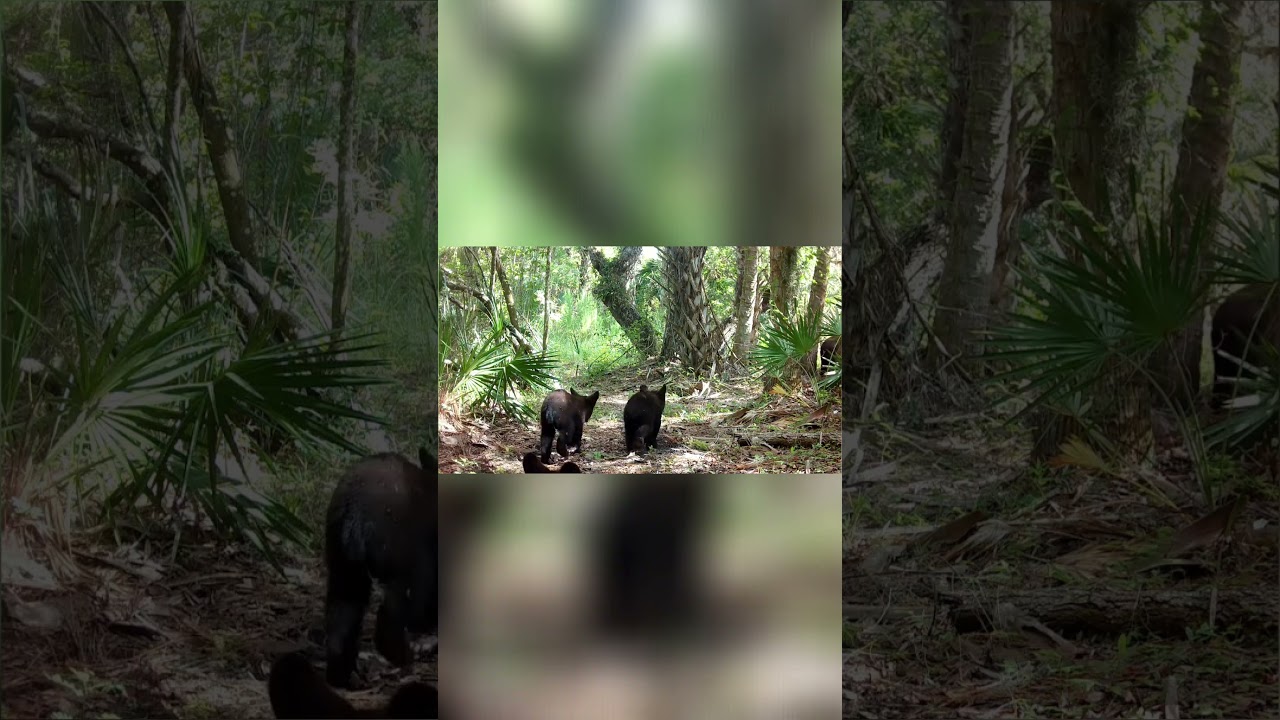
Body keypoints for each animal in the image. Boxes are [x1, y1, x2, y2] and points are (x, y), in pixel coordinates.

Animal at [323, 451, 437, 689]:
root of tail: (355, 510)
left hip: (342, 560)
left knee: (342, 609)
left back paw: (341, 676)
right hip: (405, 556)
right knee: (399, 607)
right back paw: (402, 655)